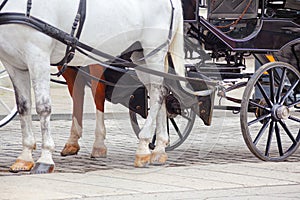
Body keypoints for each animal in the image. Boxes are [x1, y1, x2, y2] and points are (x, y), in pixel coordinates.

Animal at [0, 0, 185, 173]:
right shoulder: (14, 64)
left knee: (156, 95)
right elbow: (23, 108)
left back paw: (143, 148)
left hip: (154, 52)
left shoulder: (38, 57)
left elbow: (43, 108)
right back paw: (159, 150)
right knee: (159, 92)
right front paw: (24, 157)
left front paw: (45, 159)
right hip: (140, 56)